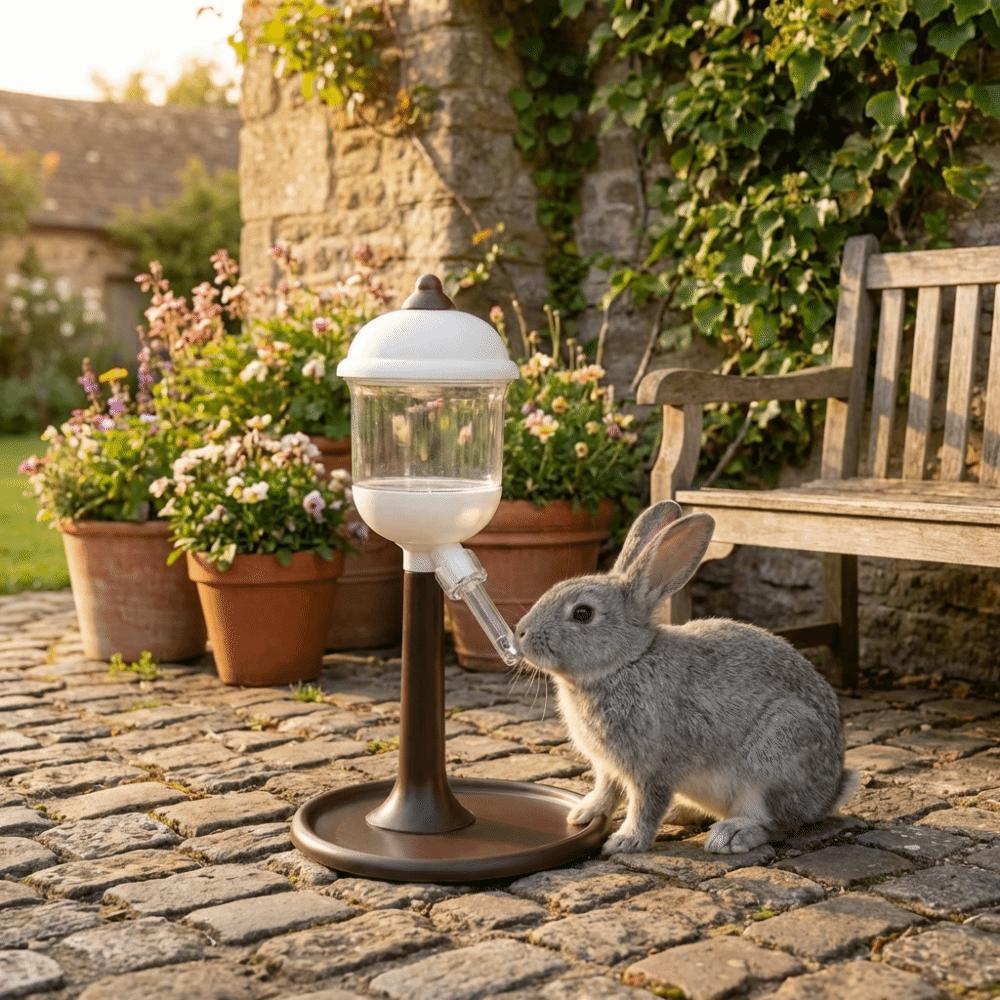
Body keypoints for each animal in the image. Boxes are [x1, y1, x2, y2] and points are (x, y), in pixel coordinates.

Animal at [515, 499, 856, 856]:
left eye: (583, 613)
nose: (520, 633)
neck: (627, 661)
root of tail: (829, 793)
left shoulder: (654, 767)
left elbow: (645, 804)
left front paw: (625, 841)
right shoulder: (608, 766)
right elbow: (607, 791)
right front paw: (583, 813)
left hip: (778, 752)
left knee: (774, 821)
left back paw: (731, 834)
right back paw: (682, 812)